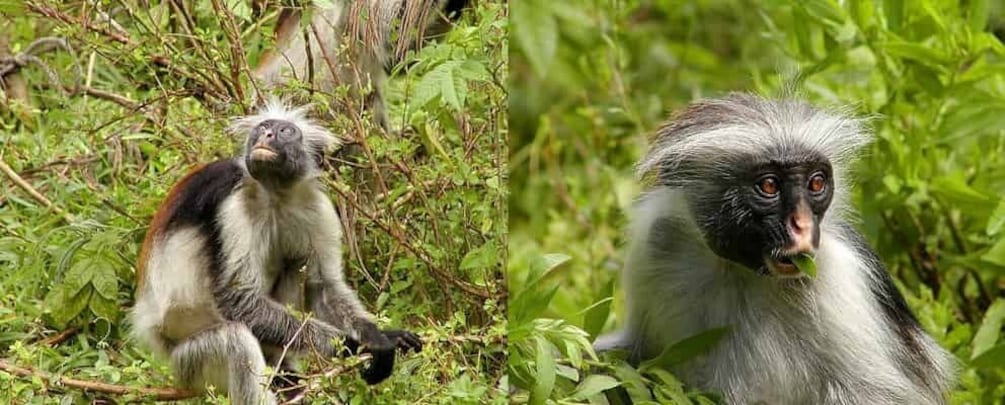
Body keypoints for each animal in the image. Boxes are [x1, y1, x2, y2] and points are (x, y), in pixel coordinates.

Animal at [129, 98, 420, 405]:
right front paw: (353, 345)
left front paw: (378, 336)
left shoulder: (317, 206)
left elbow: (323, 285)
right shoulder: (234, 204)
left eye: (285, 131)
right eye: (264, 128)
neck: (275, 194)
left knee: (294, 263)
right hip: (189, 363)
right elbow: (240, 300)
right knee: (237, 342)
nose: (267, 135)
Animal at [594, 94, 956, 405]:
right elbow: (625, 355)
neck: (740, 270)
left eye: (816, 183)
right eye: (769, 186)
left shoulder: (837, 273)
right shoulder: (658, 241)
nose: (804, 226)